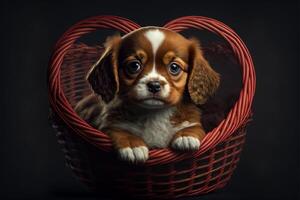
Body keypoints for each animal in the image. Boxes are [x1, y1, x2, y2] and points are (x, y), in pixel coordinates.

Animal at [75, 26, 220, 163]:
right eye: (134, 65)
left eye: (174, 67)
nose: (154, 85)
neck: (153, 114)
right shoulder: (107, 125)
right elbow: (119, 130)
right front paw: (132, 145)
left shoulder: (193, 121)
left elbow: (195, 127)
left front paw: (186, 136)